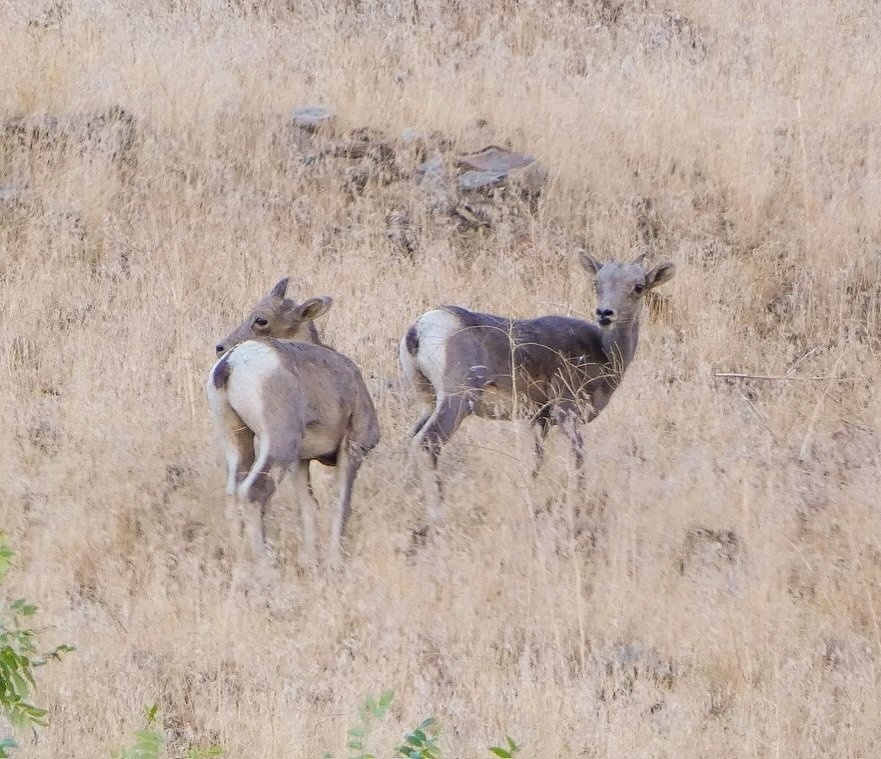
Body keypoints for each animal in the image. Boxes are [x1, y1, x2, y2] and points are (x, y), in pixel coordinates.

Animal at [207, 278, 380, 568]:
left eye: (260, 320)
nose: (220, 346)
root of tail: (230, 365)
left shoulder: (300, 462)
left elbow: (307, 506)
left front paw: (310, 562)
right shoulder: (353, 448)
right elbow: (340, 503)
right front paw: (333, 563)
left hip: (237, 439)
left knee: (232, 494)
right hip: (278, 444)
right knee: (252, 493)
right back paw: (266, 570)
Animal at [399, 250, 675, 519]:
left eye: (638, 287)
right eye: (596, 283)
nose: (605, 314)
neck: (604, 352)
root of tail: (418, 331)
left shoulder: (539, 420)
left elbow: (536, 461)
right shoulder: (566, 411)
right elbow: (578, 455)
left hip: (428, 402)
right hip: (457, 400)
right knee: (427, 444)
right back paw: (437, 514)